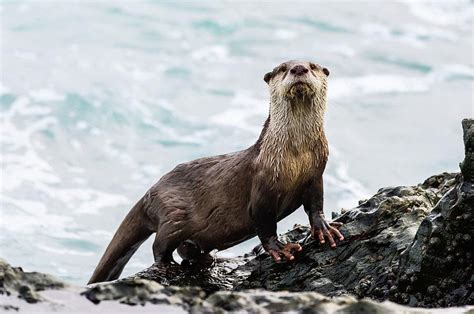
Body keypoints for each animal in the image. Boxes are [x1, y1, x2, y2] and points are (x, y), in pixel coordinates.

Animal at [87, 60, 342, 284]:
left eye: (312, 66)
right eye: (282, 68)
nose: (298, 68)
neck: (296, 156)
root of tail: (150, 192)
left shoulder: (315, 175)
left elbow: (315, 205)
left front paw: (324, 229)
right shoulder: (262, 185)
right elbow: (264, 222)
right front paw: (280, 248)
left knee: (187, 247)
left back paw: (204, 260)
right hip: (173, 213)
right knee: (160, 243)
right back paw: (168, 265)